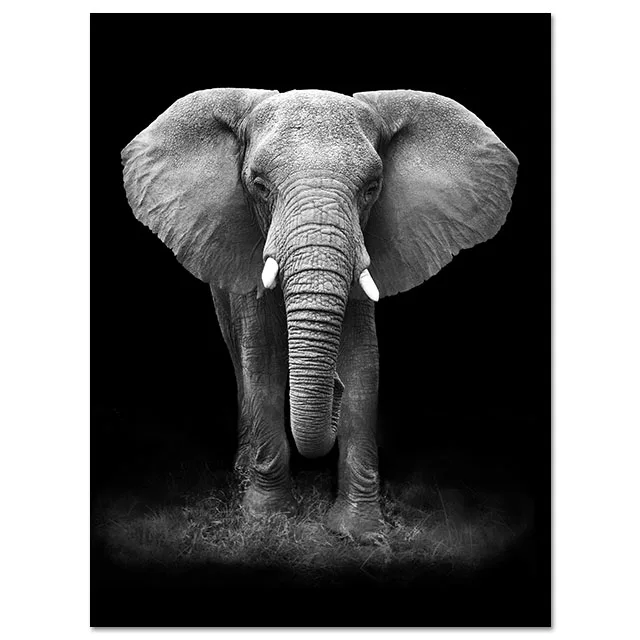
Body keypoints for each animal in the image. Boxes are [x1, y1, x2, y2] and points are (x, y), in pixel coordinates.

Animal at [121, 88, 518, 538]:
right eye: (259, 185)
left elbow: (364, 364)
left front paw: (359, 532)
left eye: (372, 188)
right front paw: (267, 519)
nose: (334, 389)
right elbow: (263, 361)